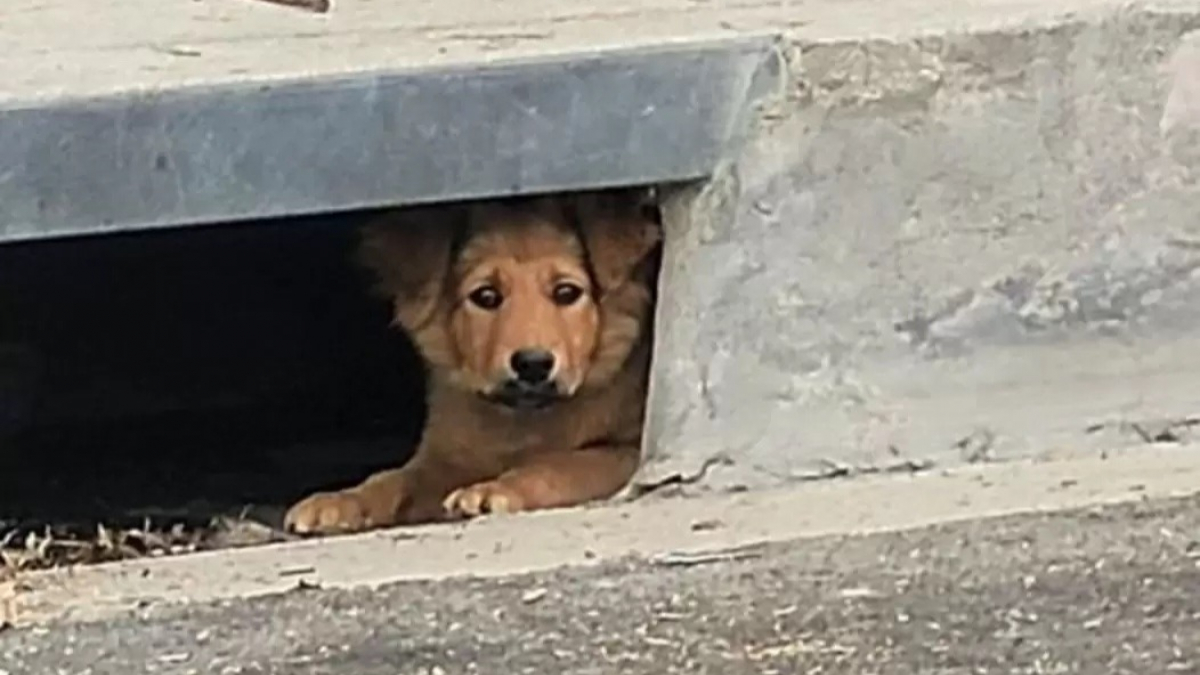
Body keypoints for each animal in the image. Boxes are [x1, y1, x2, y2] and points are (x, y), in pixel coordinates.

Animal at [288, 187, 667, 530]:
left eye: (566, 292)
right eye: (486, 296)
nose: (533, 364)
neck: (526, 418)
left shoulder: (628, 451)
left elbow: (560, 465)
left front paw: (497, 488)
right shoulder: (445, 456)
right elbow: (393, 478)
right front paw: (340, 500)